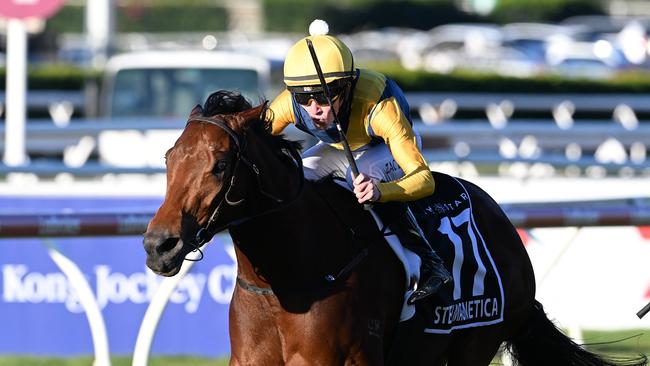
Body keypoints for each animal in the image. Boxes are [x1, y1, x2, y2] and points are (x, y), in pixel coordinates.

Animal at [144, 91, 644, 366]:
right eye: (169, 158)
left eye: (219, 165)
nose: (158, 245)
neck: (290, 278)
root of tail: (502, 221)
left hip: (475, 342)